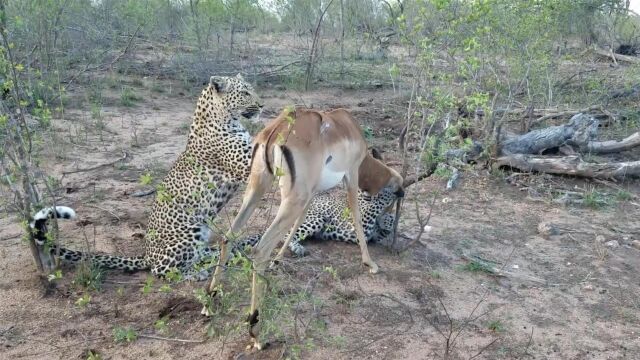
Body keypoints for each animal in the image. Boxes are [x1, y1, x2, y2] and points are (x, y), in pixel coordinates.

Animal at [32, 186, 400, 278]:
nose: (400, 192)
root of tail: (147, 253)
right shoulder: (358, 220)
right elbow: (370, 220)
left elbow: (382, 230)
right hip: (314, 218)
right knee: (166, 272)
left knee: (217, 254)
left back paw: (226, 258)